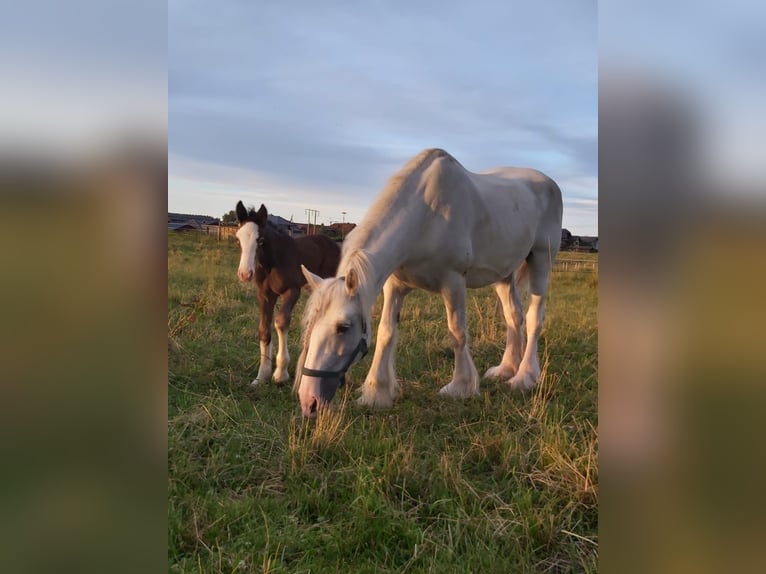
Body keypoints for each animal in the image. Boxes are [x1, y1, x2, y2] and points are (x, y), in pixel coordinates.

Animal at [235, 201, 340, 385]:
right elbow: (264, 328)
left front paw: (280, 374)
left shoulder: (291, 291)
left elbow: (281, 322)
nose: (245, 274)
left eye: (260, 240)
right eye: (238, 238)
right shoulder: (265, 295)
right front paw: (262, 375)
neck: (273, 262)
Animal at [294, 148, 562, 418]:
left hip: (542, 260)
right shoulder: (395, 287)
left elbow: (457, 332)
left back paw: (524, 377)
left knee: (533, 318)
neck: (426, 215)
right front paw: (376, 392)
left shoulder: (453, 282)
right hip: (503, 274)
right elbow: (386, 333)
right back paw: (506, 369)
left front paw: (461, 387)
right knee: (513, 315)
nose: (309, 402)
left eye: (343, 327)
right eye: (310, 324)